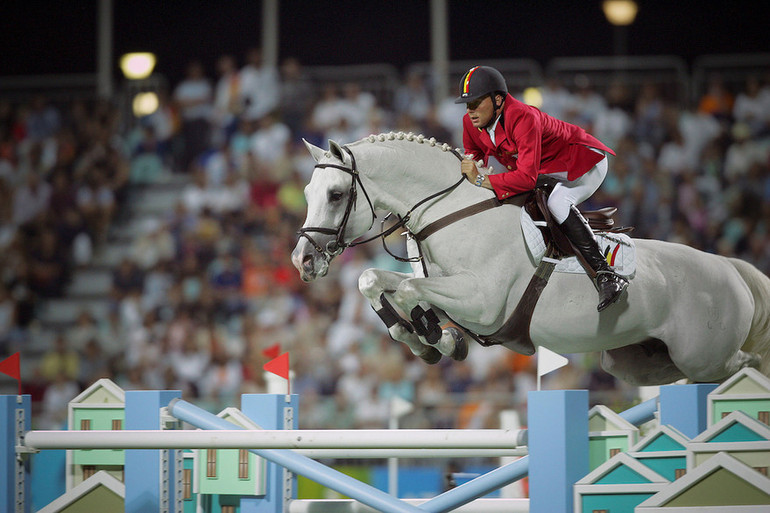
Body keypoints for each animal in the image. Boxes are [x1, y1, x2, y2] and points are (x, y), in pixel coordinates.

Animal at [292, 132, 768, 384]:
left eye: (336, 195)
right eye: (308, 193)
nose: (302, 262)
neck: (450, 211)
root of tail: (730, 268)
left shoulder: (481, 302)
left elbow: (408, 289)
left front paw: (435, 337)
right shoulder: (442, 286)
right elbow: (373, 281)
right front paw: (430, 342)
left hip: (704, 356)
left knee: (746, 364)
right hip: (642, 363)